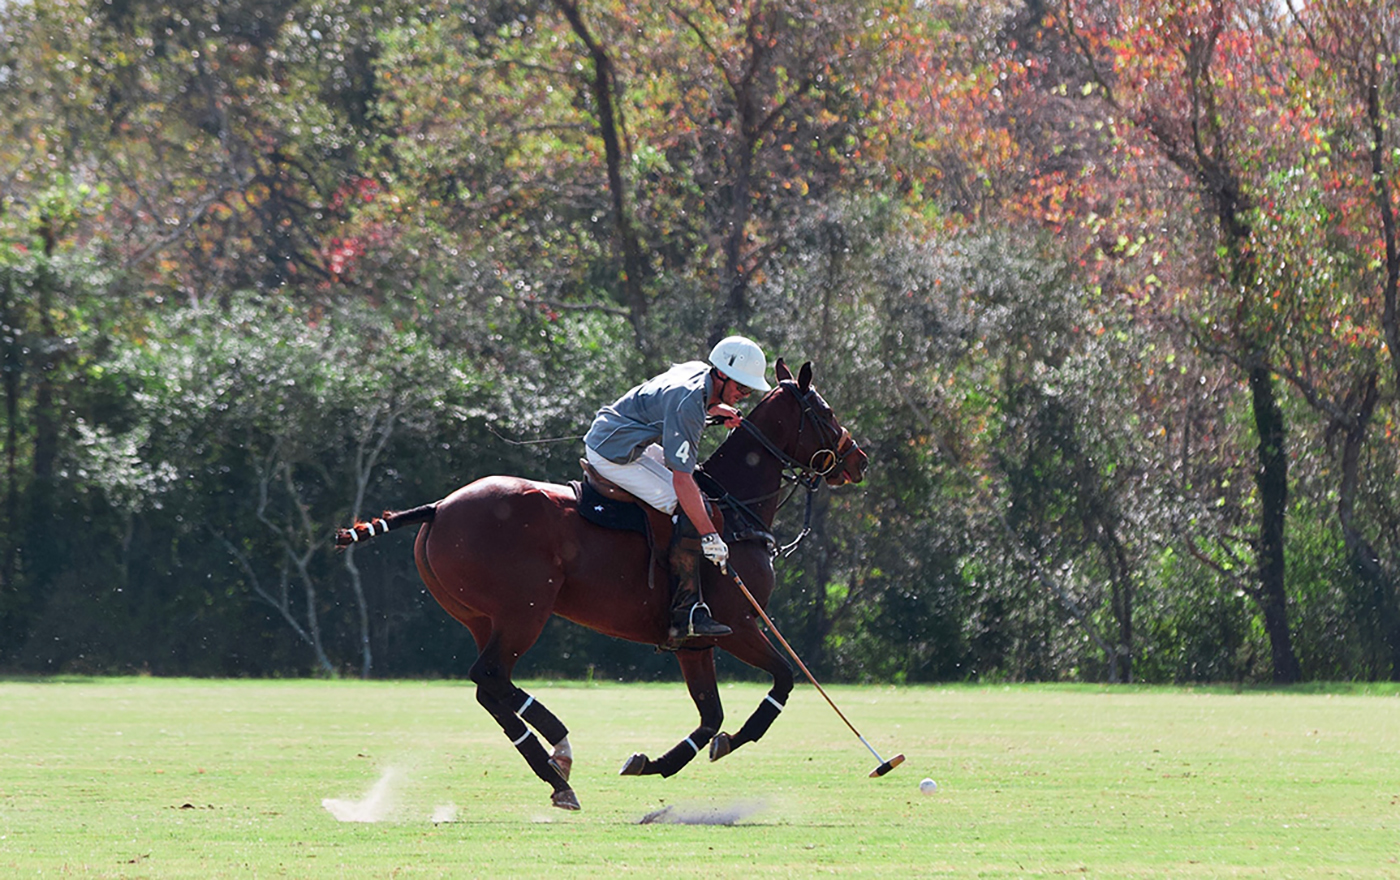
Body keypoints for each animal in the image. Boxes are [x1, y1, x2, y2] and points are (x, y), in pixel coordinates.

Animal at [336, 356, 862, 811]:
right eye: (826, 413)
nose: (860, 461)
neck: (734, 509)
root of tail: (439, 507)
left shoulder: (693, 644)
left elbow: (710, 715)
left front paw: (651, 762)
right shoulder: (739, 623)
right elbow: (784, 679)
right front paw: (727, 744)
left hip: (480, 617)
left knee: (492, 685)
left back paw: (557, 762)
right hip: (525, 609)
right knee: (489, 676)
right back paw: (557, 761)